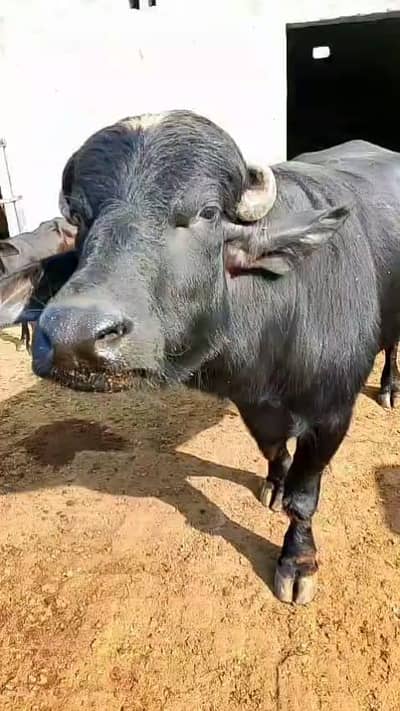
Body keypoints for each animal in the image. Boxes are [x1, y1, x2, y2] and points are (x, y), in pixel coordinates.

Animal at [6, 111, 400, 605]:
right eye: (79, 217)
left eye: (207, 213)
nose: (72, 336)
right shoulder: (252, 404)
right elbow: (273, 449)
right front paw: (274, 482)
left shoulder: (332, 414)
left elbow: (304, 497)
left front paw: (297, 561)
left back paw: (390, 388)